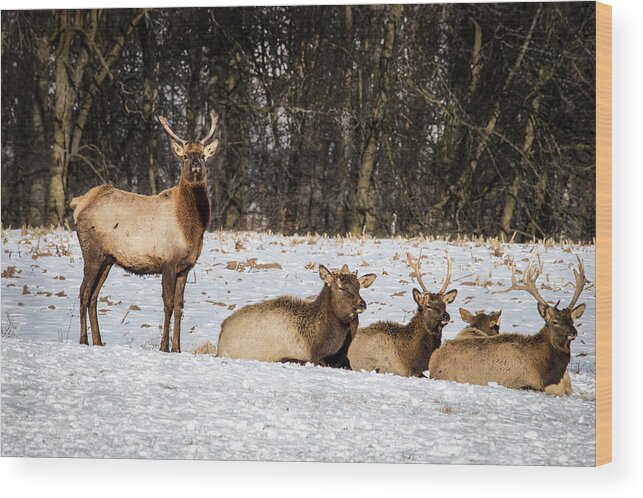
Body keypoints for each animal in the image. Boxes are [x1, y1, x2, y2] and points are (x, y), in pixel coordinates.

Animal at [72, 111, 220, 352]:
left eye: (203, 155)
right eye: (185, 156)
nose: (197, 163)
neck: (191, 229)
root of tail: (79, 204)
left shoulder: (185, 267)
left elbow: (179, 306)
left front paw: (177, 348)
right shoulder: (167, 261)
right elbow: (168, 304)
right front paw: (164, 347)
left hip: (107, 259)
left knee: (94, 295)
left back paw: (99, 341)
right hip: (91, 251)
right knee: (83, 292)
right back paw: (84, 340)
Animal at [428, 256, 588, 392]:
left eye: (571, 320)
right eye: (555, 322)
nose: (573, 332)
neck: (543, 369)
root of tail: (434, 358)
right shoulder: (516, 383)